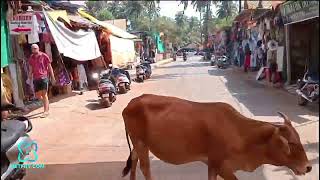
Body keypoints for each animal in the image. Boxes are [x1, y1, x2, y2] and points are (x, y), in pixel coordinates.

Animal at [121, 94, 312, 180]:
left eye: (299, 139)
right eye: (289, 143)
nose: (308, 167)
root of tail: (131, 103)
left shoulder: (212, 165)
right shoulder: (220, 165)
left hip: (138, 143)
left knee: (134, 161)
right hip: (140, 142)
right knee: (145, 167)